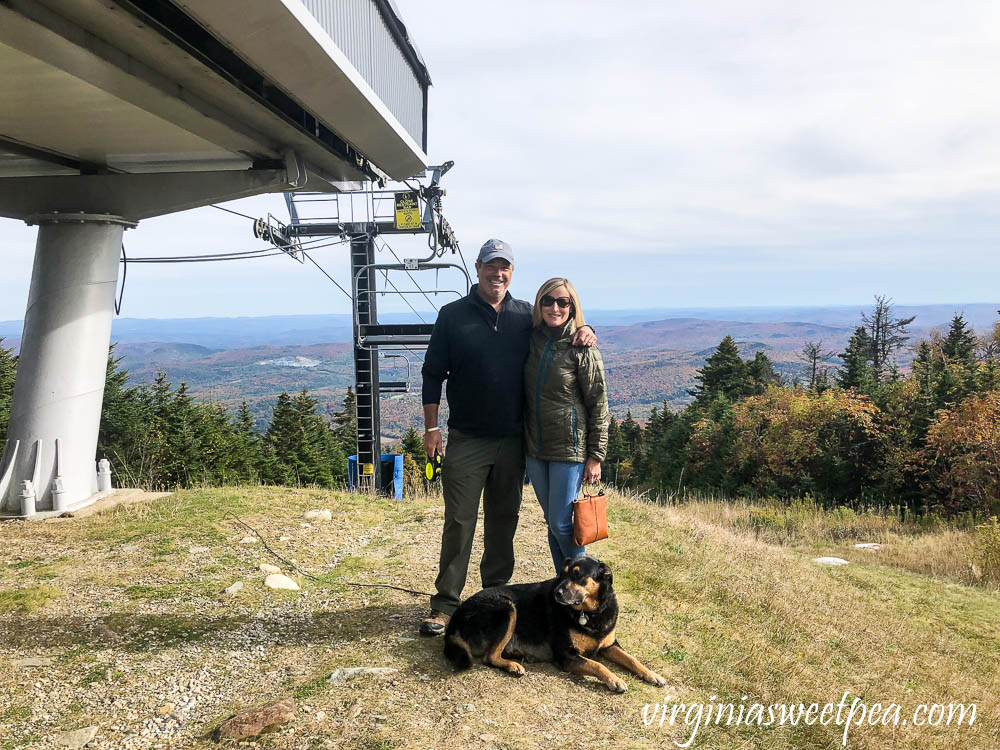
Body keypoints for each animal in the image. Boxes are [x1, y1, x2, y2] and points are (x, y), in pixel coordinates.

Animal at [444, 560, 664, 692]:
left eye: (578, 575)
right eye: (562, 574)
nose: (556, 593)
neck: (590, 612)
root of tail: (455, 618)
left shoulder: (609, 645)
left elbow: (632, 659)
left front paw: (652, 675)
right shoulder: (567, 656)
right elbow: (597, 664)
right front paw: (614, 680)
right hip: (507, 607)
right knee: (489, 657)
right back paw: (512, 665)